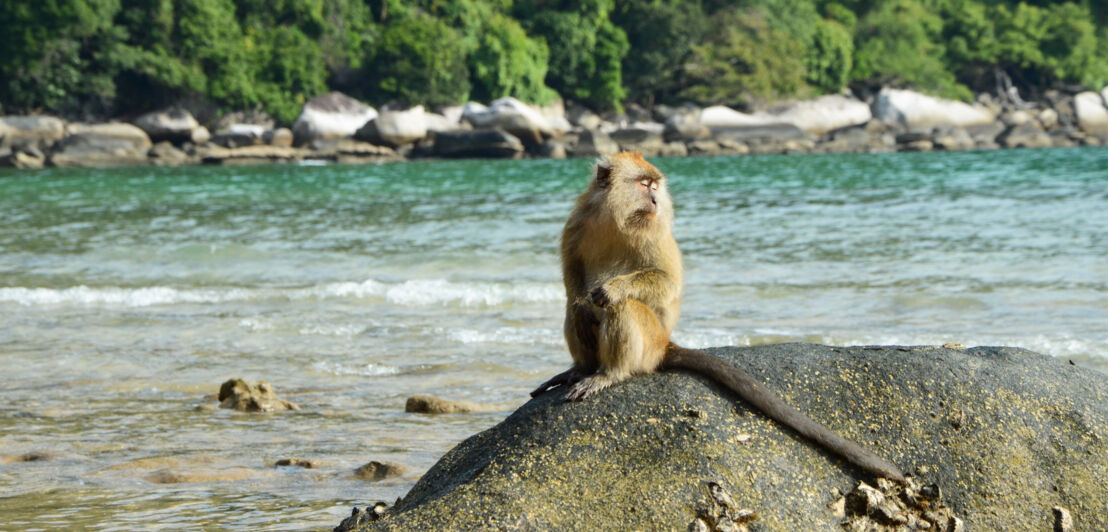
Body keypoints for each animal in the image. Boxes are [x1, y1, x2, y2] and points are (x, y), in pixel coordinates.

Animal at [531, 151, 904, 483]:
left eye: (655, 186)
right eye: (643, 184)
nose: (654, 200)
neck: (616, 217)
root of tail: (665, 344)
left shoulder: (654, 230)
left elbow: (665, 282)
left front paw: (613, 289)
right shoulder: (578, 219)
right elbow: (573, 278)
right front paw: (584, 300)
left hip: (650, 341)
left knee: (624, 309)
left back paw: (610, 373)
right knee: (574, 309)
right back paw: (581, 368)